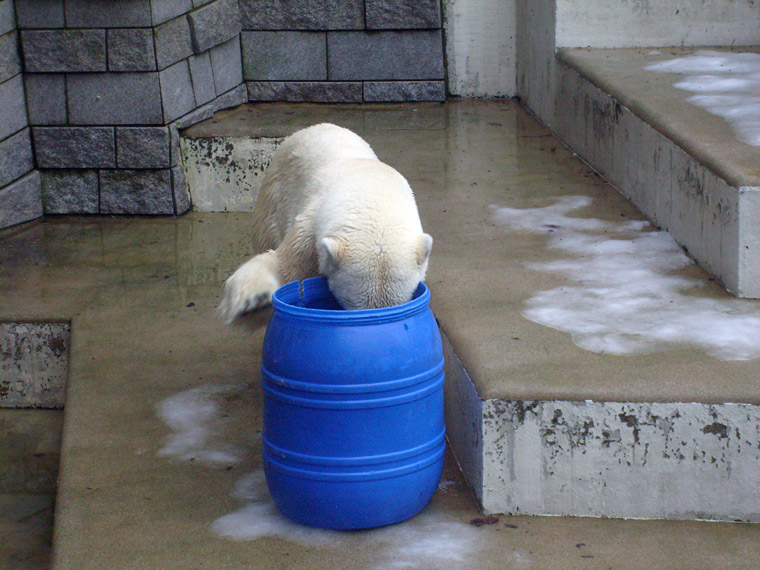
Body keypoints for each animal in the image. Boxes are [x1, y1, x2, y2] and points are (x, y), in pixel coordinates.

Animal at [218, 122, 434, 322]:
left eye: (397, 303)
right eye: (354, 305)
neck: (371, 194)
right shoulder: (310, 225)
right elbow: (285, 265)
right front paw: (252, 297)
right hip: (274, 195)